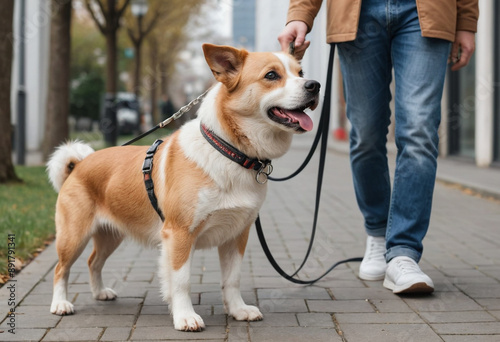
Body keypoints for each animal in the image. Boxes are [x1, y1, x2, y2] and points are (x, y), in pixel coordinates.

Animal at [47, 43, 320, 332]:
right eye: (271, 75)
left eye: (300, 73)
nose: (315, 85)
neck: (228, 151)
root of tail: (78, 164)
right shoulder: (179, 234)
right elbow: (181, 281)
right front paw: (185, 316)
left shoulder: (237, 235)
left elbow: (232, 279)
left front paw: (238, 310)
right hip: (73, 236)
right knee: (61, 269)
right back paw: (60, 304)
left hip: (112, 234)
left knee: (93, 262)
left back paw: (100, 293)